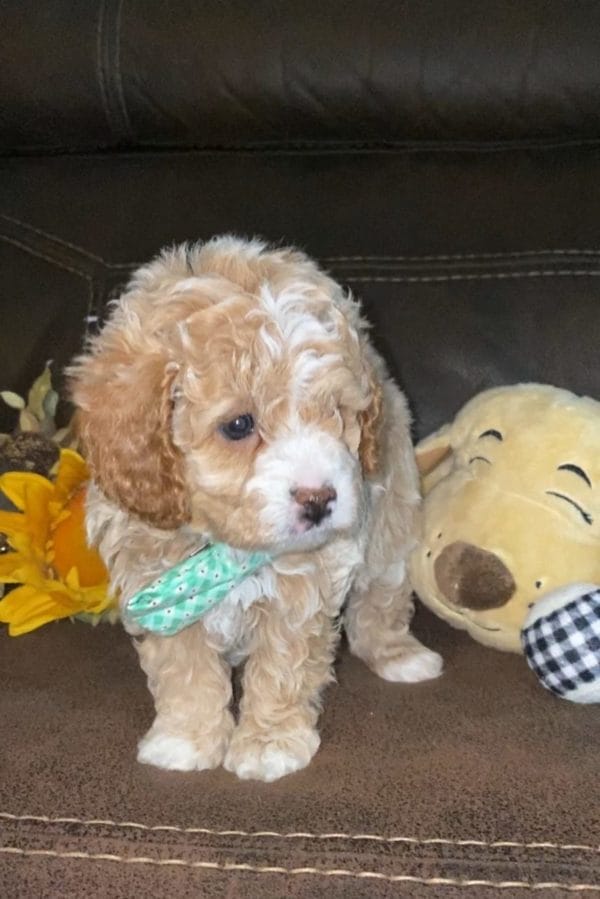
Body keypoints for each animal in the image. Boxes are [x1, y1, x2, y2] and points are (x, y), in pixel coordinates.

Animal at [69, 237, 440, 780]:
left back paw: (399, 656)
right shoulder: (159, 591)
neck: (226, 546)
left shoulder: (304, 589)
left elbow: (282, 667)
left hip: (392, 514)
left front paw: (269, 745)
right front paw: (185, 739)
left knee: (381, 596)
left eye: (337, 413)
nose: (319, 499)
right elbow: (185, 671)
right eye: (239, 425)